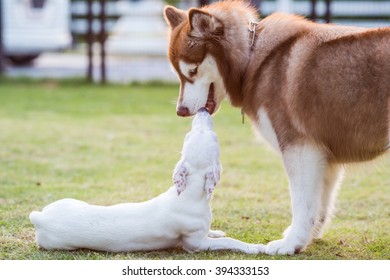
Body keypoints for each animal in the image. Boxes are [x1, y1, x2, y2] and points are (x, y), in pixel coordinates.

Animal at [29, 107, 264, 254]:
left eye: (188, 137)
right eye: (214, 139)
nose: (202, 109)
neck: (189, 193)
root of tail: (40, 218)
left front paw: (217, 230)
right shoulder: (196, 244)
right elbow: (228, 241)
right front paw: (254, 248)